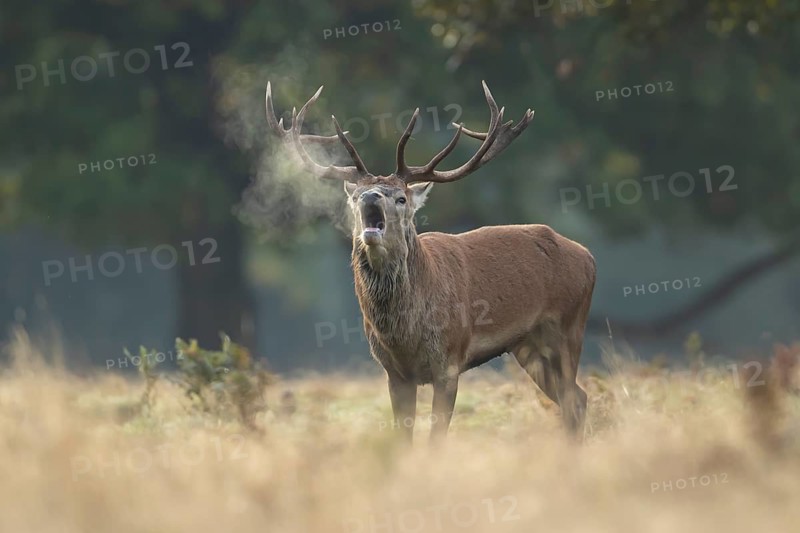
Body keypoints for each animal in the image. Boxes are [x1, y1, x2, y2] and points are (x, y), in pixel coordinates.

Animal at [265, 81, 596, 442]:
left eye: (401, 197)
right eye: (355, 196)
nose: (370, 196)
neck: (405, 335)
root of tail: (588, 256)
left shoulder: (449, 361)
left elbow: (436, 437)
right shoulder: (394, 373)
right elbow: (403, 437)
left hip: (569, 328)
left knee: (574, 397)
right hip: (528, 347)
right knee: (575, 399)